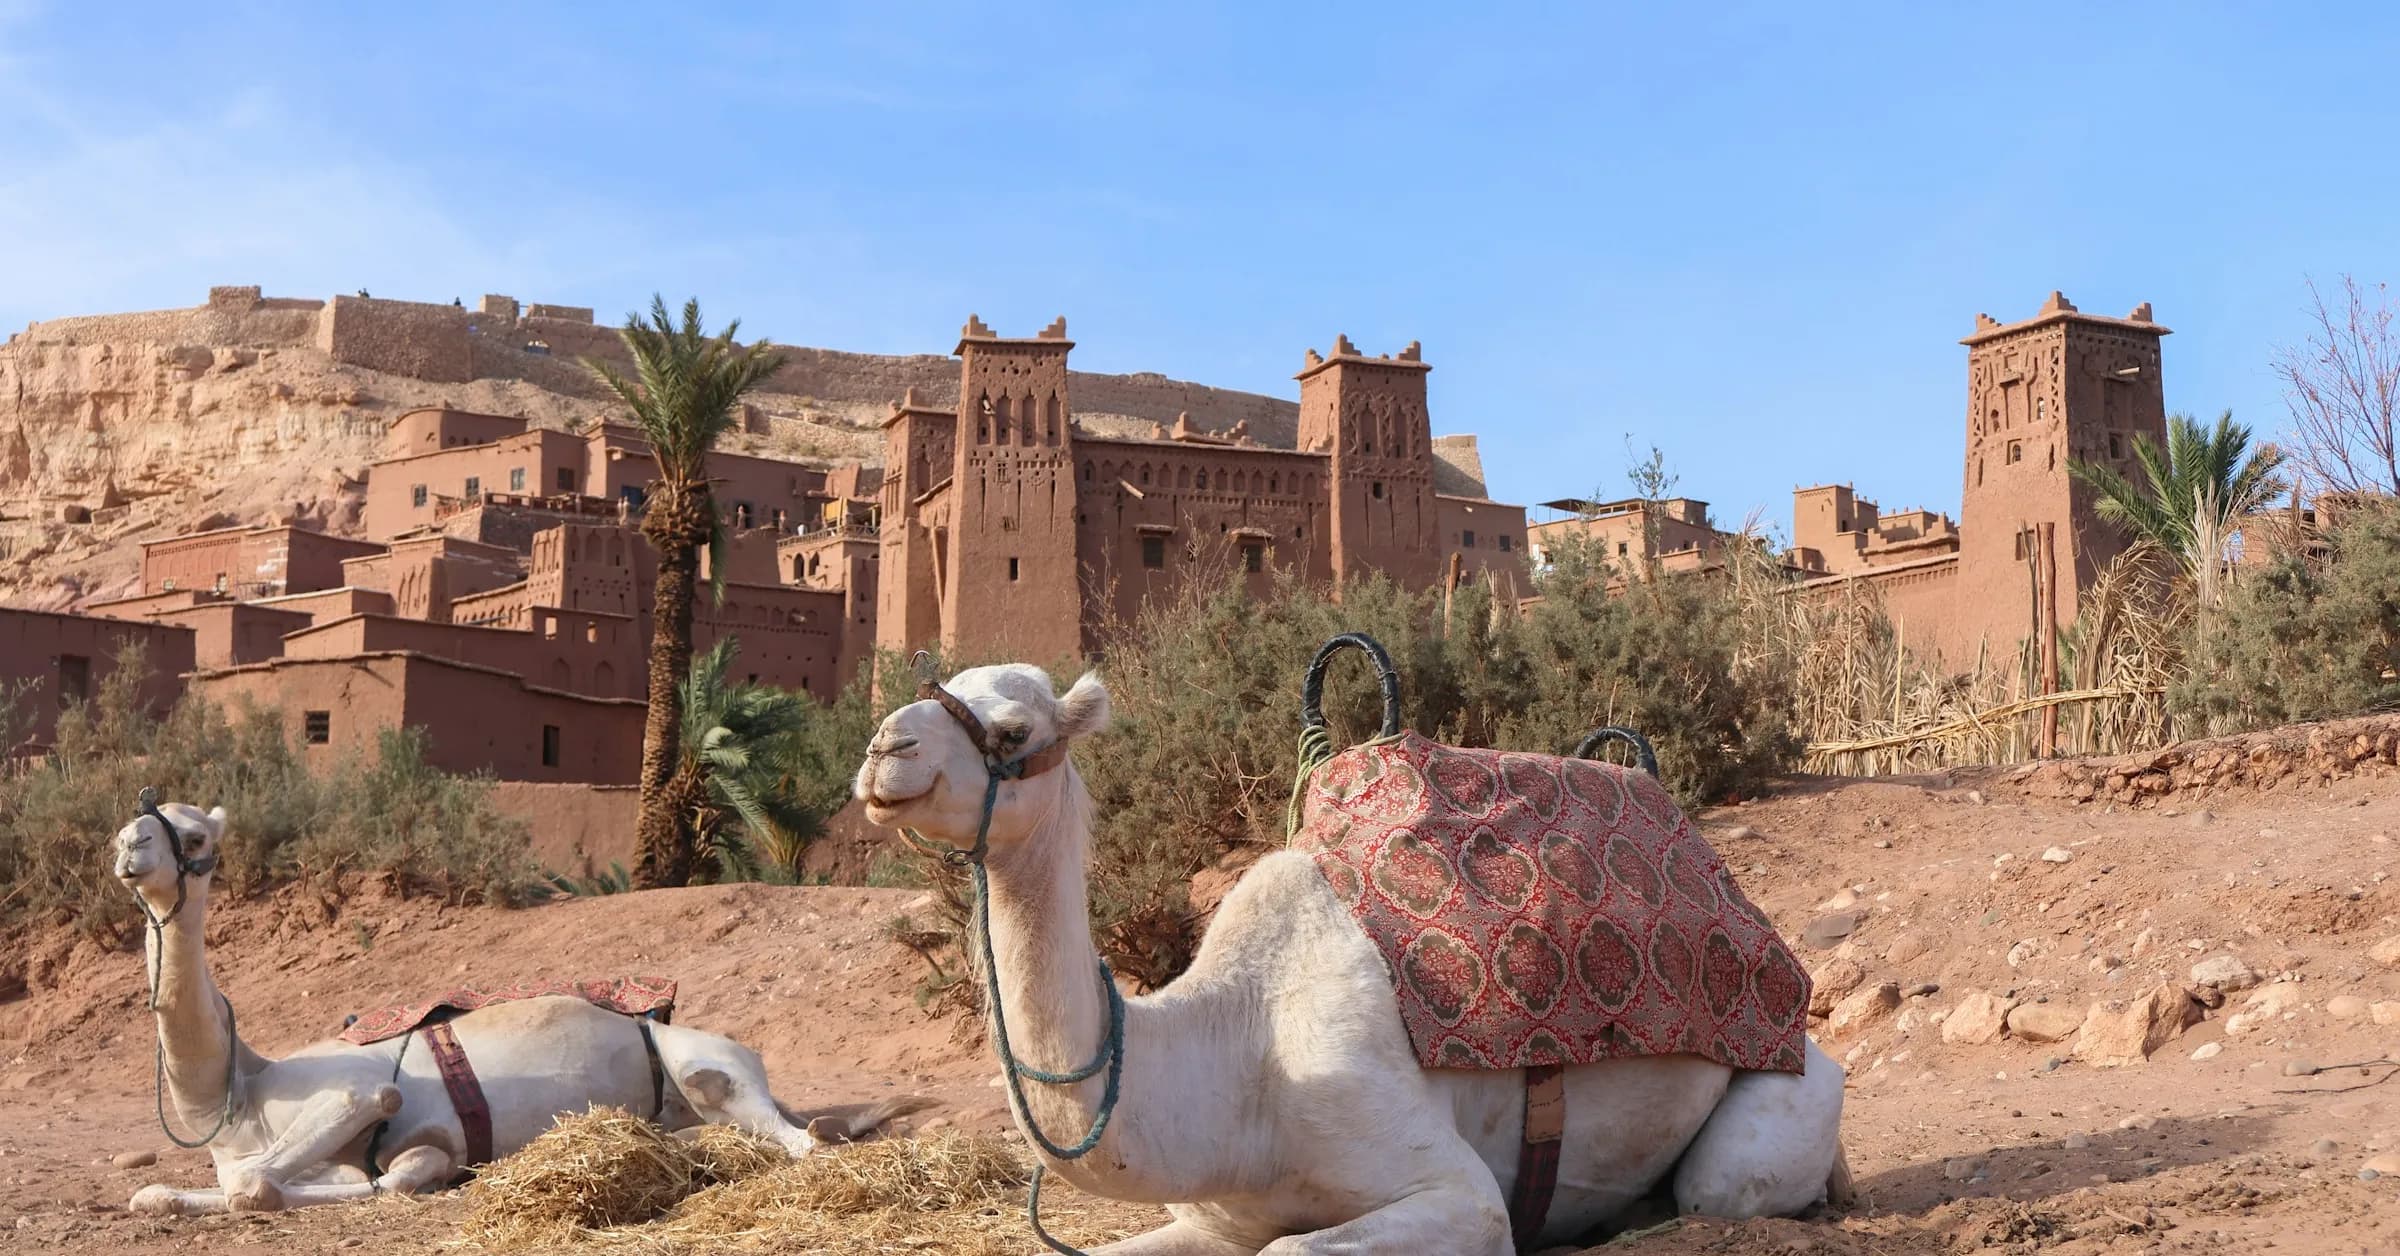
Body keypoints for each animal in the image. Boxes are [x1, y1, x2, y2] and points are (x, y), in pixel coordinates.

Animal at [111, 797, 920, 1215]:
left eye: (193, 831)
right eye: (139, 822)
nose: (127, 844)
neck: (235, 1093)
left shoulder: (361, 1094)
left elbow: (270, 1181)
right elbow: (175, 1192)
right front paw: (165, 1194)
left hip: (707, 1067)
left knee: (793, 1136)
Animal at [855, 663, 1851, 1255]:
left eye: (1013, 731)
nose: (883, 749)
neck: (1237, 1062)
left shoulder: (1453, 1191)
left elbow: (1299, 1246)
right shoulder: (1209, 1221)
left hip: (1775, 1096)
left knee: (1728, 1184)